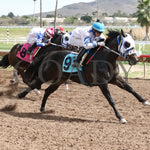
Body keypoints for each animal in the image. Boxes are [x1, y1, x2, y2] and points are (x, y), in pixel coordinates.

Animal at [17, 29, 150, 123]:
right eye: (127, 44)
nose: (135, 59)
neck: (105, 59)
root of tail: (50, 54)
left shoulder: (116, 78)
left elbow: (130, 88)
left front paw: (144, 101)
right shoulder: (102, 83)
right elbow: (111, 100)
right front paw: (121, 117)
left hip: (61, 79)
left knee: (48, 90)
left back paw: (42, 108)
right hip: (47, 74)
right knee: (35, 83)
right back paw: (21, 95)